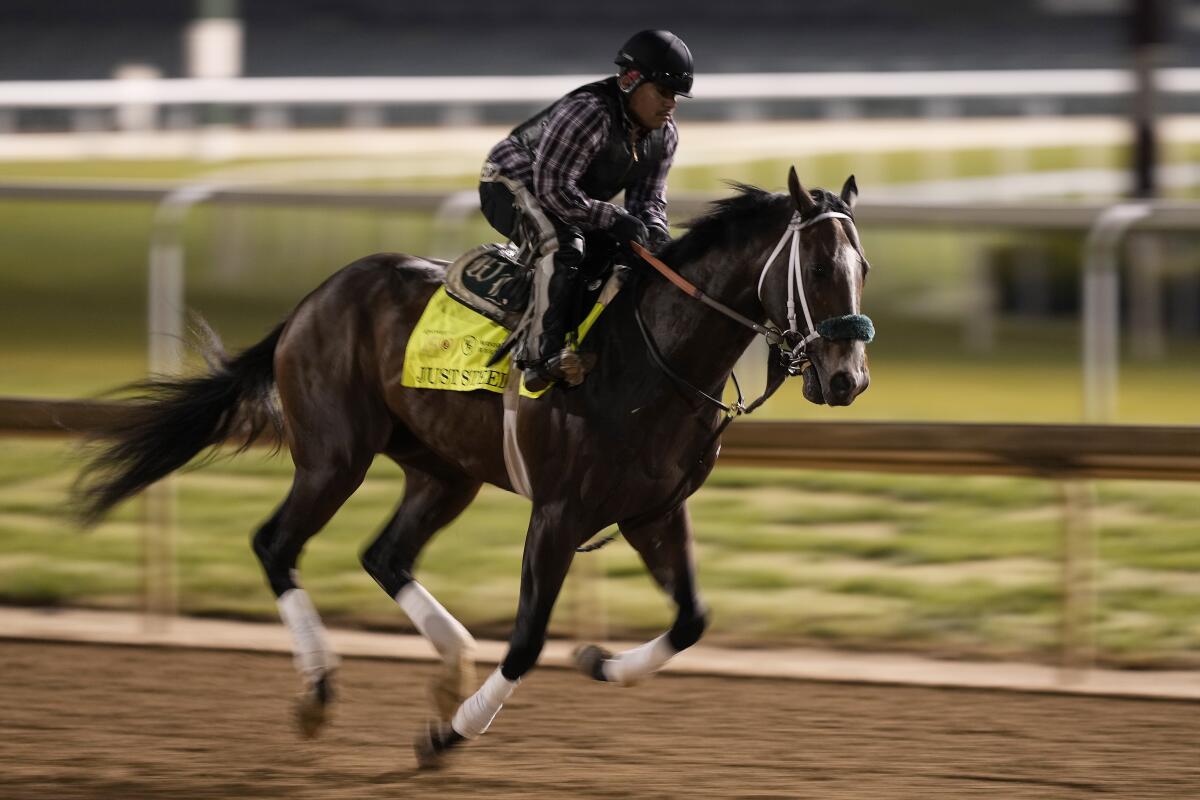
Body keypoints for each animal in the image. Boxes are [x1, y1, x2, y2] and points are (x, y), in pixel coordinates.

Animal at [75, 165, 873, 767]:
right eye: (818, 268)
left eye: (863, 268)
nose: (847, 380)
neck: (656, 358)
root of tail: (315, 297)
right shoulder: (559, 513)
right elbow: (526, 640)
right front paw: (450, 734)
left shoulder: (654, 511)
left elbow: (692, 620)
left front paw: (596, 660)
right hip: (335, 456)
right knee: (277, 544)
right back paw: (321, 688)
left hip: (442, 470)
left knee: (384, 554)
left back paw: (450, 659)